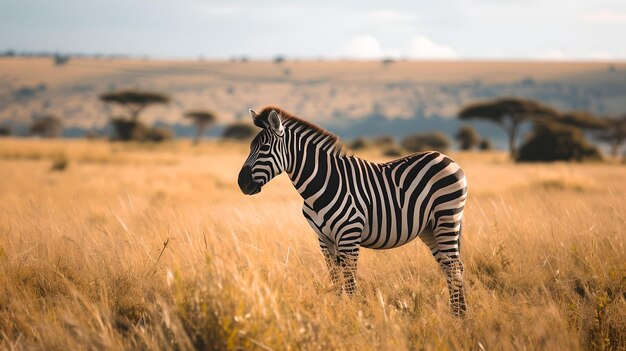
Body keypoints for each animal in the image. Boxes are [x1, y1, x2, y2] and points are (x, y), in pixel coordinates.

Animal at [236, 106, 466, 318]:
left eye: (265, 148)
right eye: (250, 147)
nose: (241, 183)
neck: (322, 184)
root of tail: (446, 157)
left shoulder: (349, 235)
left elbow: (350, 282)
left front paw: (355, 316)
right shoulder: (324, 239)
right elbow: (335, 279)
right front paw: (340, 313)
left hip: (447, 217)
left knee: (454, 267)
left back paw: (458, 317)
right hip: (429, 228)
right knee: (451, 266)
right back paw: (459, 314)